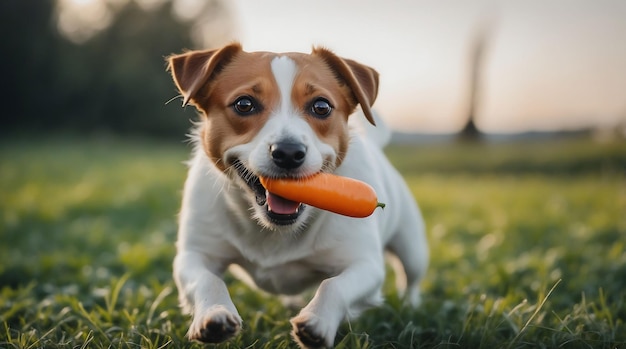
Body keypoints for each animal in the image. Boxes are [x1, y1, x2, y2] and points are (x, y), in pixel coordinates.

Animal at [166, 42, 428, 346]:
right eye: (244, 104)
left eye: (321, 106)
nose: (288, 152)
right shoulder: (195, 255)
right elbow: (208, 280)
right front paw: (214, 314)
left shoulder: (365, 265)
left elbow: (333, 285)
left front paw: (318, 321)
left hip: (412, 248)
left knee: (411, 278)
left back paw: (411, 307)